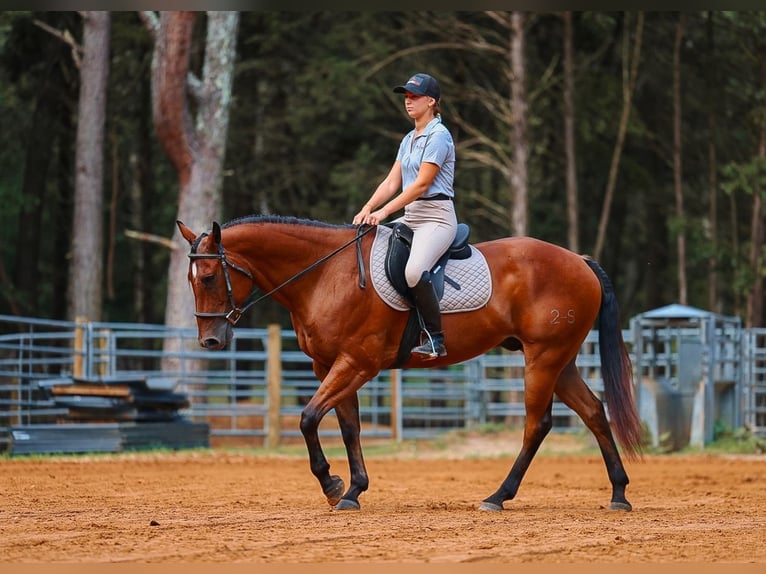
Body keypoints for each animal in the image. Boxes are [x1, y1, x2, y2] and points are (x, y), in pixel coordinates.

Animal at [177, 215, 643, 512]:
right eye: (191, 280)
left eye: (210, 278)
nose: (210, 340)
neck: (325, 274)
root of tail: (579, 260)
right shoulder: (330, 366)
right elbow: (349, 427)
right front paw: (354, 490)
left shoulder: (356, 363)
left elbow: (308, 418)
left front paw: (332, 484)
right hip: (561, 361)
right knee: (594, 412)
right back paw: (618, 494)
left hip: (543, 358)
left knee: (537, 424)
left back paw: (498, 496)